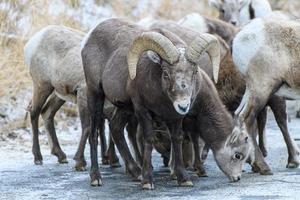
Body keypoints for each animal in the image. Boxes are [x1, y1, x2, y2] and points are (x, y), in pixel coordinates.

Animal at [22, 25, 119, 170]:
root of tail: (33, 41)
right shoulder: (83, 95)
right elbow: (87, 128)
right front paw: (80, 163)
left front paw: (112, 160)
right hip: (42, 85)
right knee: (34, 111)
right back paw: (38, 158)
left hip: (59, 94)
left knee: (47, 112)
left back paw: (61, 156)